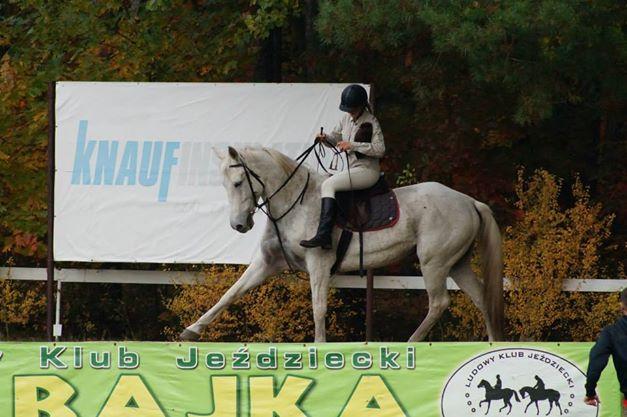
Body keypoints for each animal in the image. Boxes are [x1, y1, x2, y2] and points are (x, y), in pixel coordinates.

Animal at [179, 146, 502, 342]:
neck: (294, 203)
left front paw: (319, 346)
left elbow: (318, 307)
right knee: (481, 298)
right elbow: (231, 293)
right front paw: (192, 330)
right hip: (456, 265)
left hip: (433, 263)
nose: (238, 225)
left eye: (237, 183)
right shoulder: (268, 263)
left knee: (439, 303)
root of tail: (468, 201)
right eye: (224, 185)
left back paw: (410, 343)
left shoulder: (318, 264)